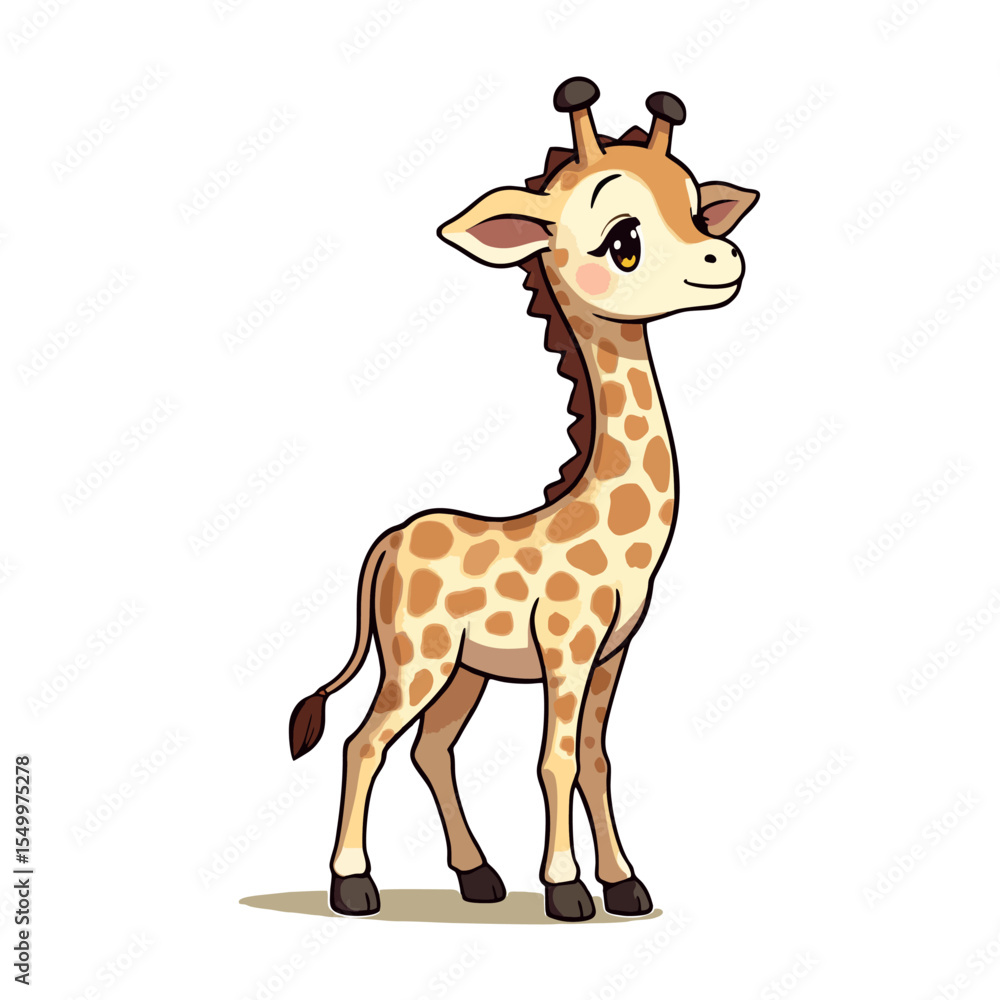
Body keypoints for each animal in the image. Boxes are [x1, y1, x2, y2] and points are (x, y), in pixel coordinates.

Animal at [289, 77, 759, 922]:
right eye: (623, 239)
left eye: (701, 213)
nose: (724, 258)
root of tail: (387, 542)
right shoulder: (568, 645)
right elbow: (556, 760)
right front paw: (567, 890)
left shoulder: (614, 652)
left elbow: (597, 759)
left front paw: (624, 884)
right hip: (418, 657)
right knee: (365, 740)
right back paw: (353, 884)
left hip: (464, 671)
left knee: (431, 746)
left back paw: (479, 877)